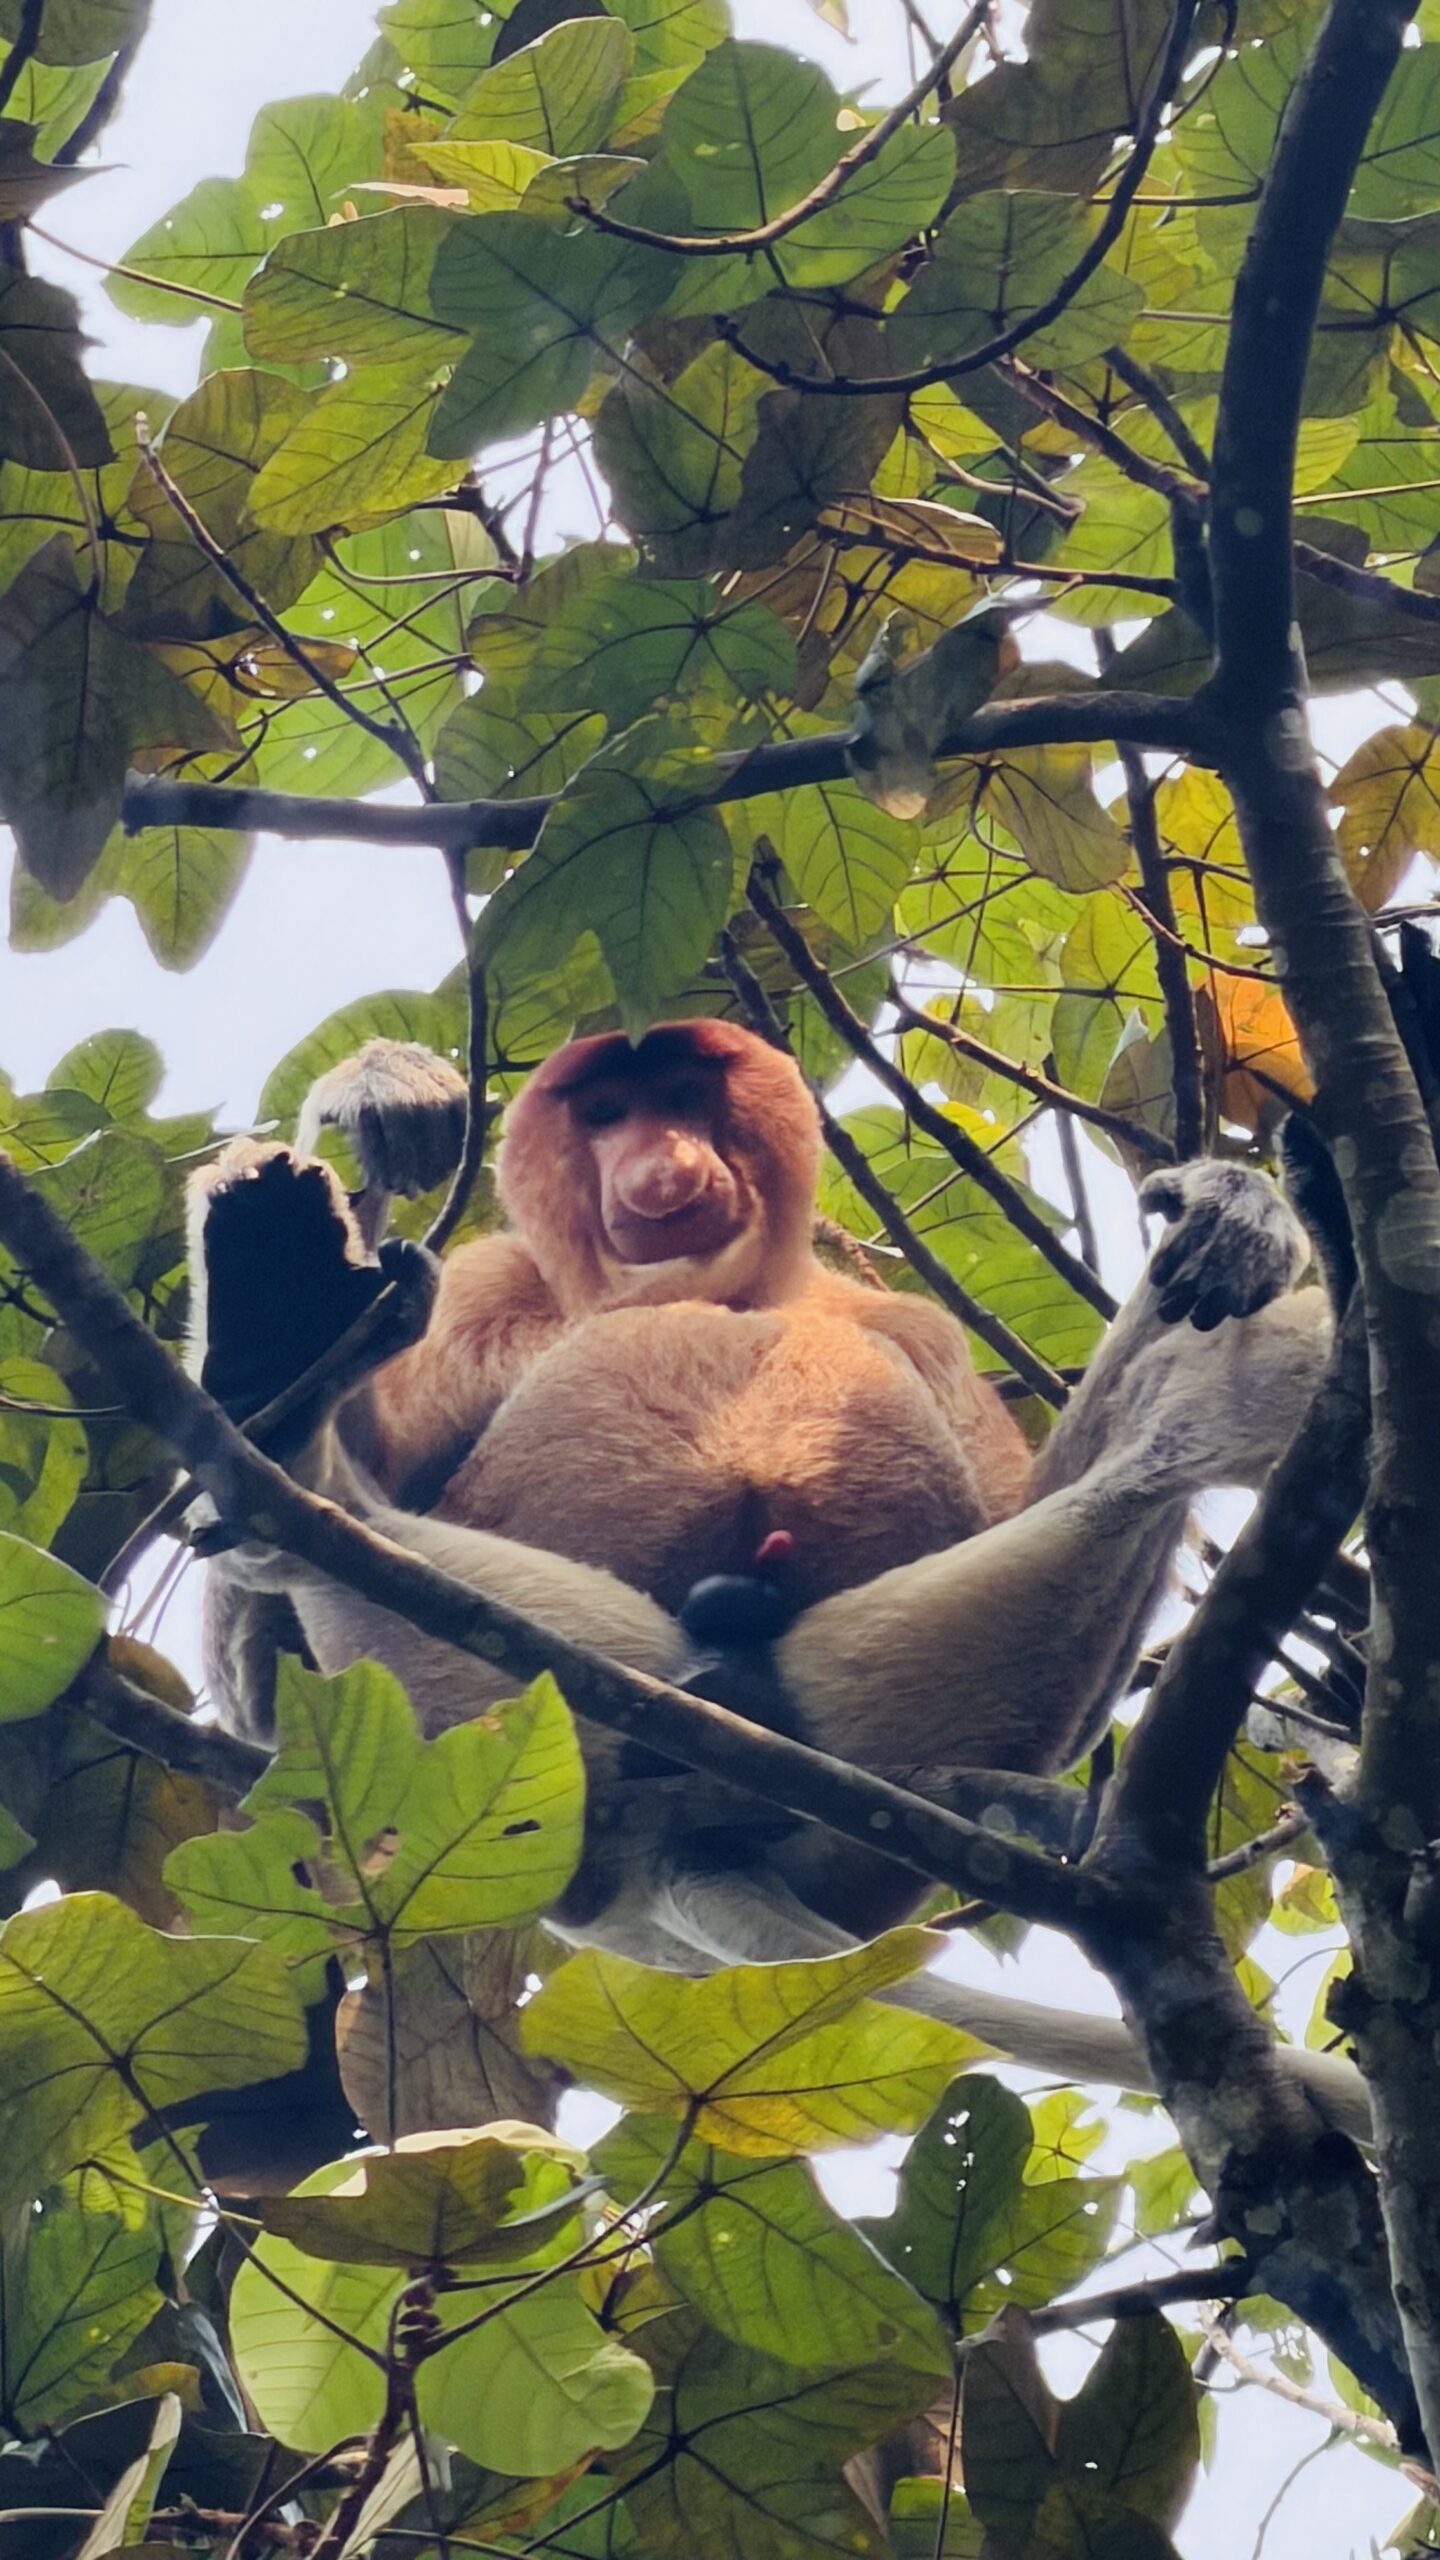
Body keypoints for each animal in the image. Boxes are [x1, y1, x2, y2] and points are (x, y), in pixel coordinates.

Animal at [185, 1021, 1347, 2107]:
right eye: (605, 1113)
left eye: (684, 1097)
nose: (663, 1166)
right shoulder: (484, 1287)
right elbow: (263, 1699)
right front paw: (375, 1104)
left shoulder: (911, 1323)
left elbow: (1026, 1496)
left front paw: (1236, 1211)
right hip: (507, 1759)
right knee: (337, 1551)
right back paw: (285, 1390)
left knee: (1164, 1436)